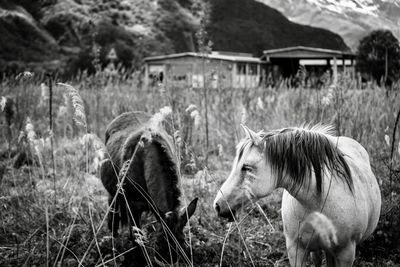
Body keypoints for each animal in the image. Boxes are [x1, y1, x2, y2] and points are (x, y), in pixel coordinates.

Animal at [101, 111, 198, 266]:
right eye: (158, 244)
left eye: (184, 243)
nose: (169, 262)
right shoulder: (132, 205)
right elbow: (136, 239)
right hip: (114, 192)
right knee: (113, 215)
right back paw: (113, 244)